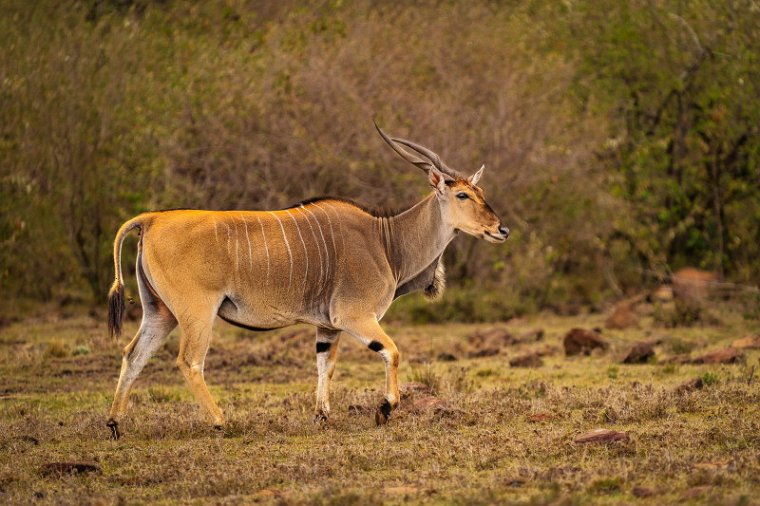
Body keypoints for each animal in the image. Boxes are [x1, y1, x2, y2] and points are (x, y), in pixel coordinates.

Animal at [105, 123, 510, 438]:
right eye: (462, 194)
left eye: (482, 193)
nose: (501, 229)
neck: (385, 239)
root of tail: (151, 219)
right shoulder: (355, 317)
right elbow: (392, 352)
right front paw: (384, 408)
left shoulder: (328, 326)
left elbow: (325, 365)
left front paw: (322, 415)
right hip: (196, 313)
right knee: (189, 361)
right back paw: (221, 422)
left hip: (160, 313)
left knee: (134, 354)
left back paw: (115, 423)